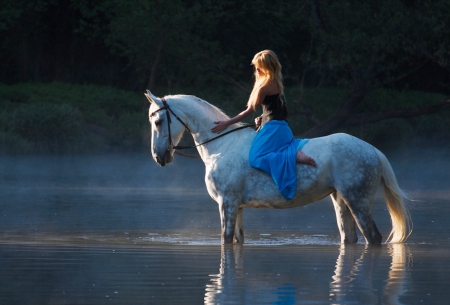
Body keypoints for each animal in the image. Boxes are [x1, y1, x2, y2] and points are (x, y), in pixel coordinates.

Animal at [145, 90, 412, 245]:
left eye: (157, 121)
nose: (159, 157)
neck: (222, 145)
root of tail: (372, 150)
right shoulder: (237, 207)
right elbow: (237, 240)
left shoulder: (227, 203)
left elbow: (226, 239)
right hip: (340, 200)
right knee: (350, 239)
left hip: (358, 201)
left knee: (373, 238)